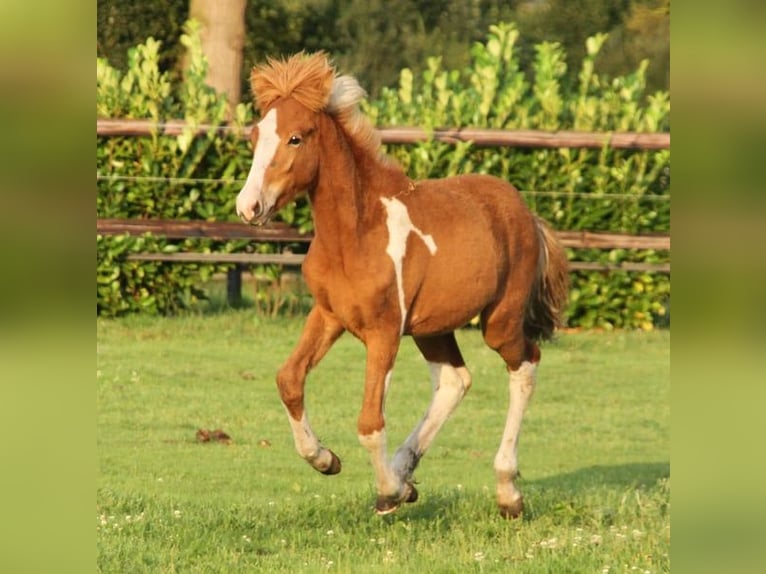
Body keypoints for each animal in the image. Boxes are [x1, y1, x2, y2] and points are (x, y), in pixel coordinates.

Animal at [235, 52, 569, 518]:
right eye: (255, 136)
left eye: (296, 139)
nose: (248, 207)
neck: (355, 236)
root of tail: (525, 211)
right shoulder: (329, 315)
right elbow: (289, 379)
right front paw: (326, 460)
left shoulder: (384, 331)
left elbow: (369, 421)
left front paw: (388, 493)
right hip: (434, 327)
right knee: (455, 381)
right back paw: (406, 472)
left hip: (500, 320)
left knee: (525, 365)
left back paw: (507, 492)